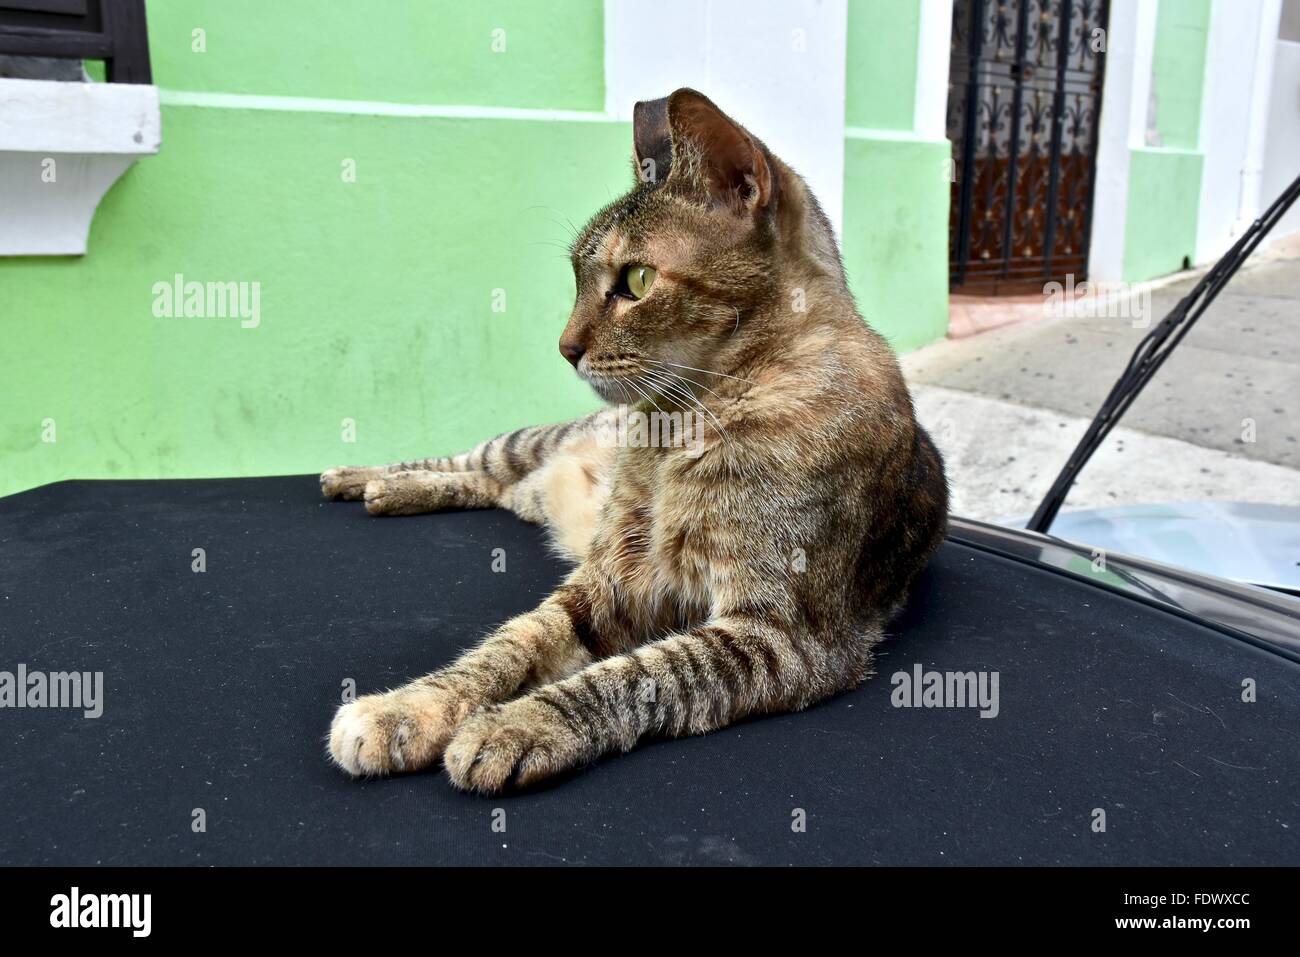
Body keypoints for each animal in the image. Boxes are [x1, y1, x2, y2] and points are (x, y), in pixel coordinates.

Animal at [319, 89, 951, 790]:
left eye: (637, 281)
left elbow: (631, 677)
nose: (565, 348)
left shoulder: (782, 633)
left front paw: (515, 723)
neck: (678, 432)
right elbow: (509, 643)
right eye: (574, 275)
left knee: (490, 485)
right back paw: (365, 478)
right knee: (472, 461)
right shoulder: (609, 579)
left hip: (533, 485)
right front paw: (409, 707)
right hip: (528, 442)